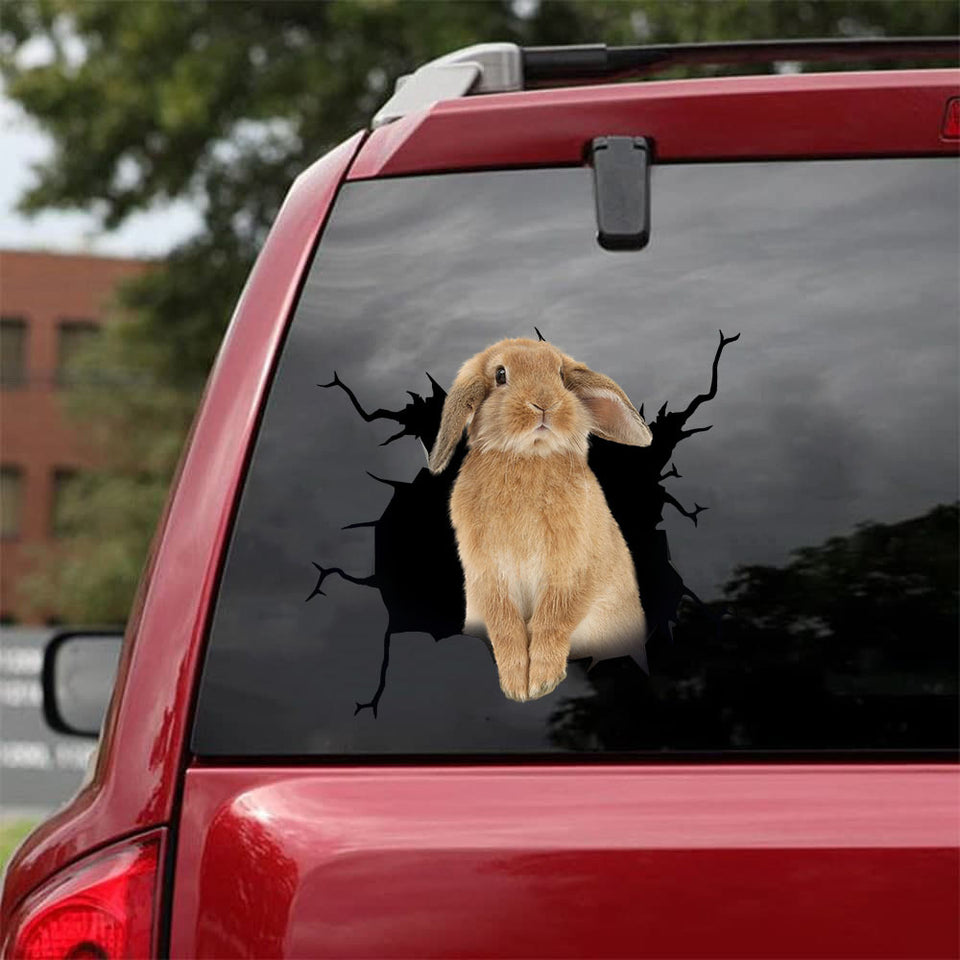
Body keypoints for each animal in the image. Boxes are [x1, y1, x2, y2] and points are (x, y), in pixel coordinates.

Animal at [428, 337, 652, 702]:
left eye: (560, 375)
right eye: (500, 374)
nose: (544, 404)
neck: (530, 455)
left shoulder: (571, 573)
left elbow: (553, 620)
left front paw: (541, 682)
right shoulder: (488, 576)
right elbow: (505, 626)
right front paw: (517, 687)